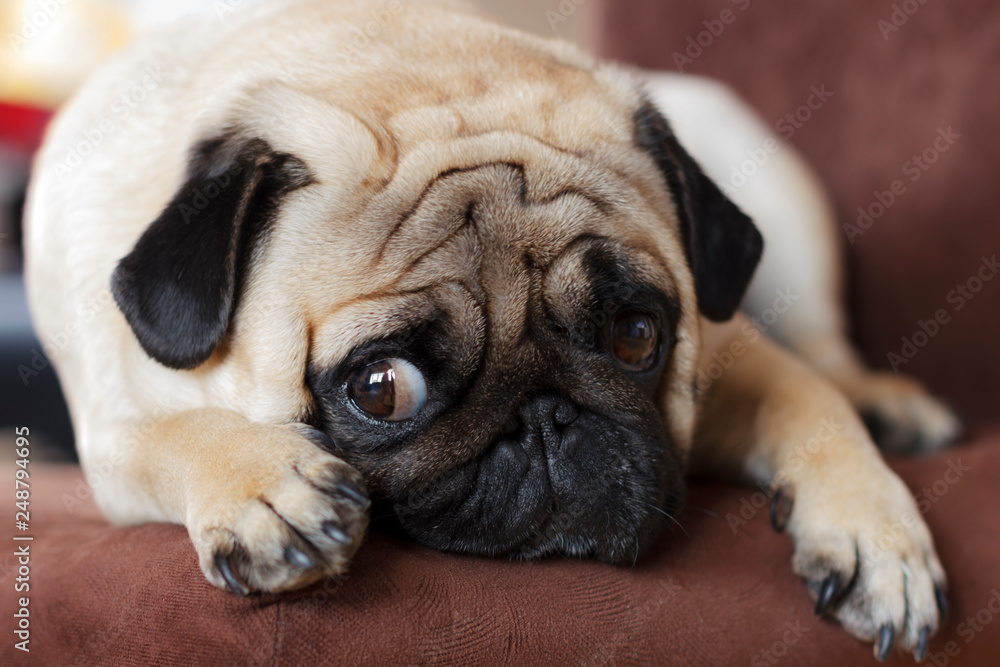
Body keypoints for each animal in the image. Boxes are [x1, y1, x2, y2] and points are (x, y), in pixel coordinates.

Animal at [23, 0, 960, 660]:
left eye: (637, 335)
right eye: (381, 388)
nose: (546, 416)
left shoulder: (726, 353)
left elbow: (810, 401)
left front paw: (877, 534)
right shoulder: (108, 434)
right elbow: (169, 434)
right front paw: (259, 484)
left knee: (829, 354)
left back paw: (885, 406)